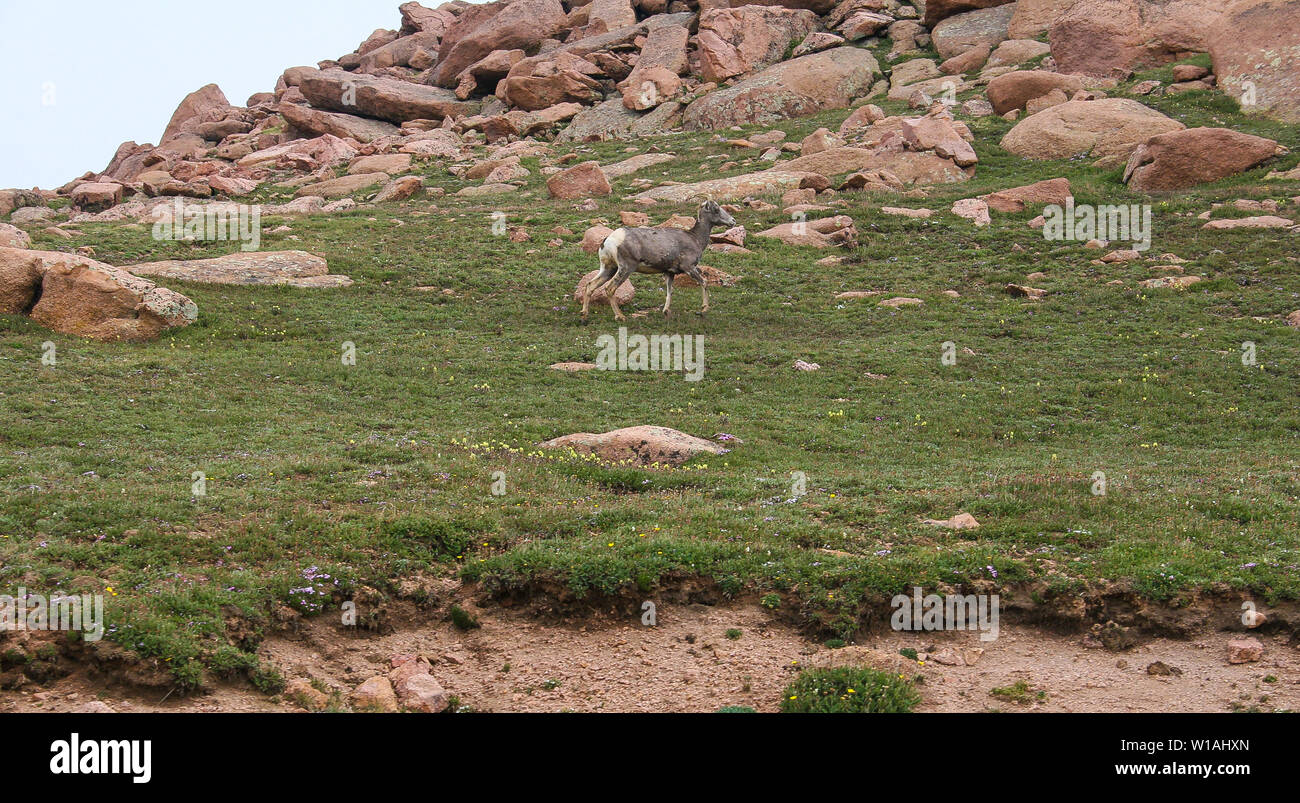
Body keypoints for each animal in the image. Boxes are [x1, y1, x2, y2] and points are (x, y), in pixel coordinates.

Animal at [582, 198, 738, 320]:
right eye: (716, 209)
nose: (733, 221)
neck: (695, 238)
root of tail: (610, 240)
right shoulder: (689, 268)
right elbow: (704, 282)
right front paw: (704, 309)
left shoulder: (670, 272)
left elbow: (670, 291)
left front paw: (666, 312)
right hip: (625, 269)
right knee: (609, 289)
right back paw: (620, 317)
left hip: (609, 268)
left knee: (590, 285)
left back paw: (584, 316)